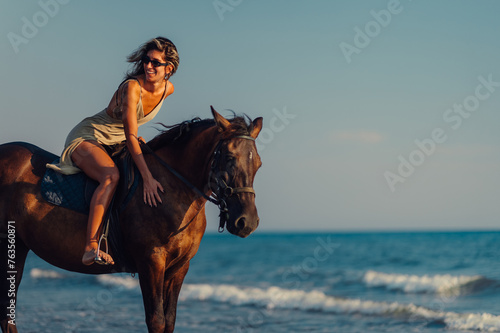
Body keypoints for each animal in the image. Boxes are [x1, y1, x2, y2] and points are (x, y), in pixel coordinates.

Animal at [0, 107, 264, 330]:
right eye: (229, 157)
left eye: (258, 164)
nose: (247, 221)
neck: (172, 188)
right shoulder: (151, 262)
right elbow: (156, 321)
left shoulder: (179, 267)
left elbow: (169, 320)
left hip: (19, 246)